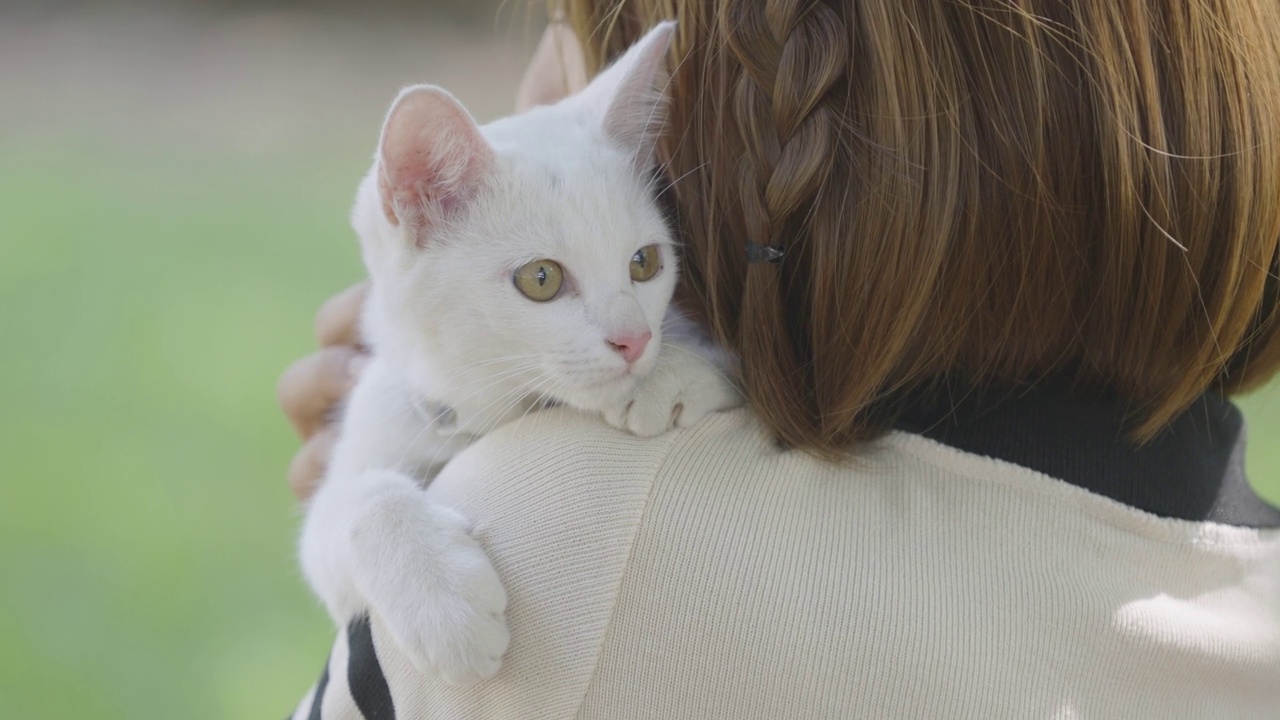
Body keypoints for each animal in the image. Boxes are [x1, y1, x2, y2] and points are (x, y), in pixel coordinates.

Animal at [299, 20, 742, 681]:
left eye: (645, 263)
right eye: (541, 279)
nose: (635, 340)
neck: (495, 408)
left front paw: (673, 373)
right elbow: (355, 505)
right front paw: (445, 607)